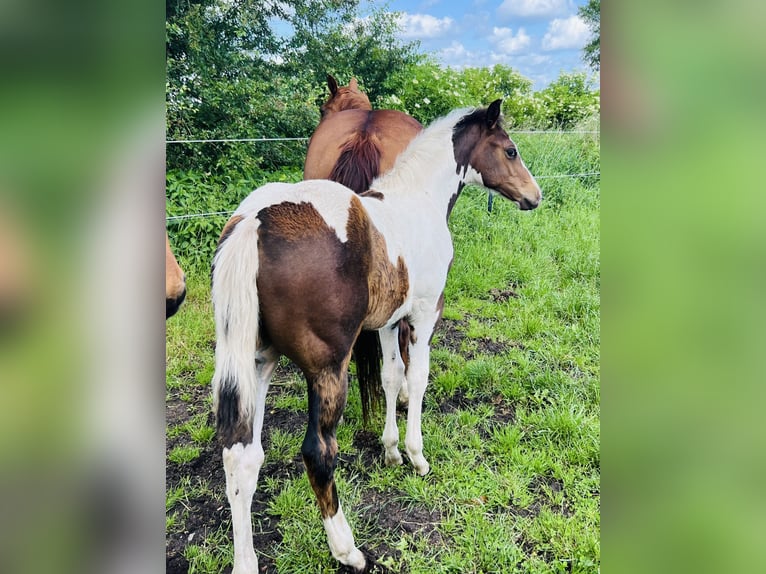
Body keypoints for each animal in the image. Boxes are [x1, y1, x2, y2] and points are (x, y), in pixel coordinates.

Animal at [213, 101, 544, 572]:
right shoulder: (425, 312)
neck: (419, 199)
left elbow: (390, 378)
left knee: (242, 455)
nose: (534, 196)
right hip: (328, 368)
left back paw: (246, 561)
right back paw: (347, 549)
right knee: (318, 452)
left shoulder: (388, 322)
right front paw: (416, 457)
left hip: (257, 360)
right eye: (511, 150)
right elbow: (417, 379)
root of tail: (254, 224)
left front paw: (389, 451)